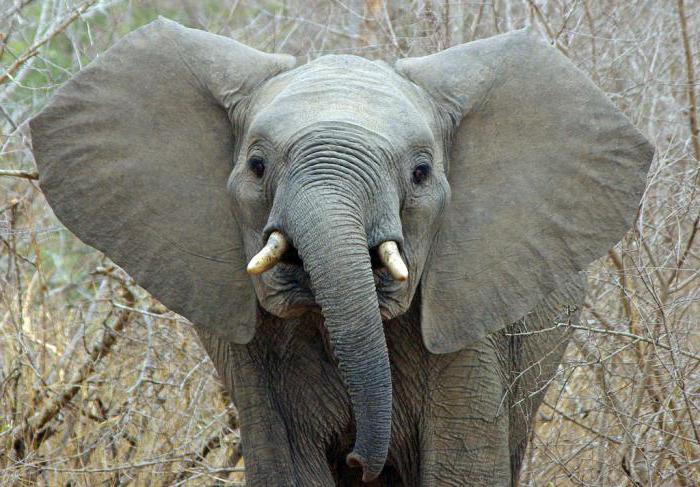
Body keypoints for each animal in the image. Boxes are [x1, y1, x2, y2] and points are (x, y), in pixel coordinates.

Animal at [30, 17, 652, 486]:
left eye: (421, 172)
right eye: (257, 165)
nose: (358, 458)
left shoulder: (474, 327)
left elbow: (461, 469)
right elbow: (286, 468)